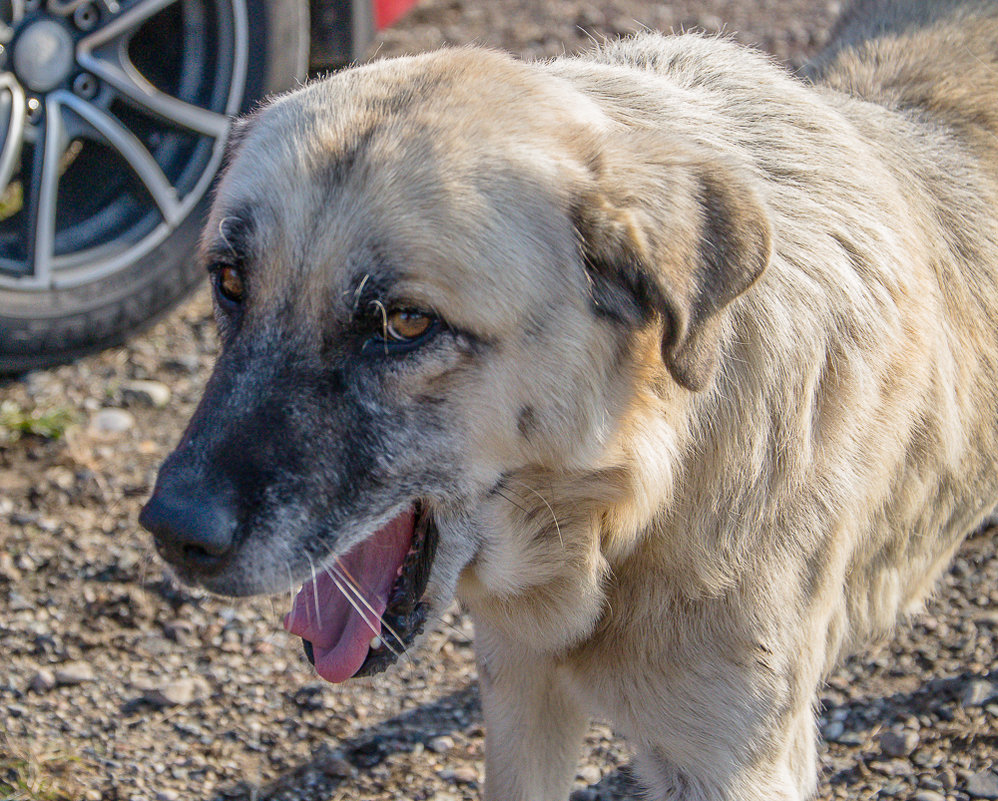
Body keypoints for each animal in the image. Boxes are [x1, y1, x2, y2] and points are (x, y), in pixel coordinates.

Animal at [139, 3, 998, 796]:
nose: (173, 531)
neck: (629, 516)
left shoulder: (736, 763)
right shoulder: (522, 696)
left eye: (404, 322)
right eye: (230, 280)